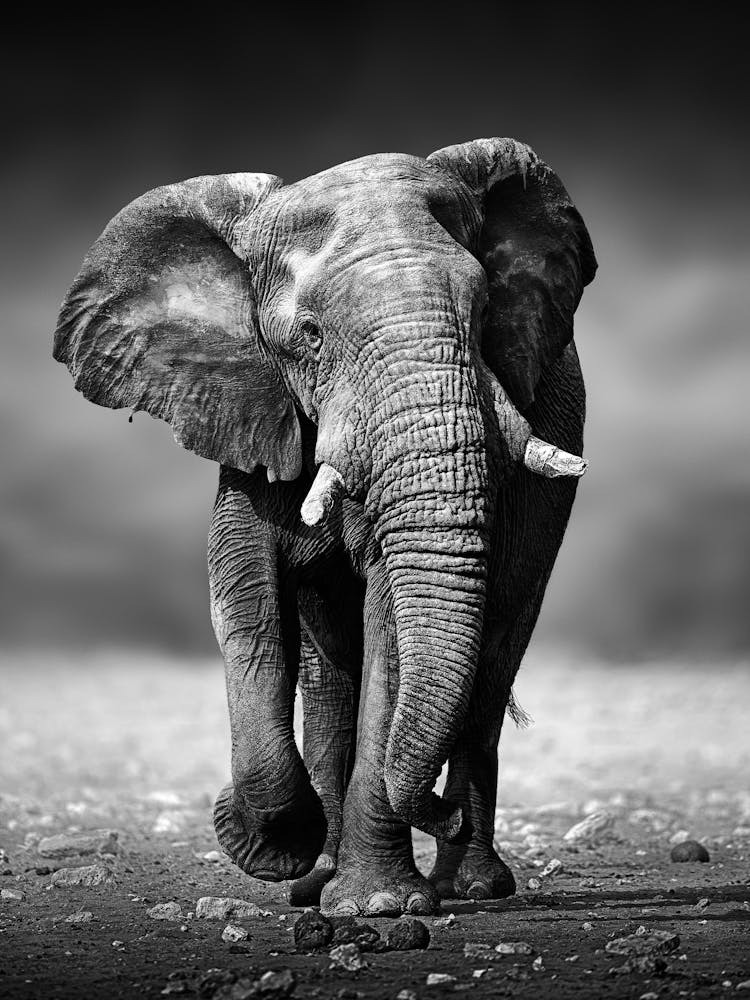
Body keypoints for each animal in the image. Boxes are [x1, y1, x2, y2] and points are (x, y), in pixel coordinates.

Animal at [53, 137, 596, 917]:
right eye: (308, 336)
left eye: (484, 309)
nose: (438, 812)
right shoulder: (251, 412)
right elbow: (245, 601)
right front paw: (276, 846)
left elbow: (390, 622)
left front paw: (379, 905)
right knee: (330, 676)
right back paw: (319, 879)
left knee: (492, 658)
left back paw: (469, 885)